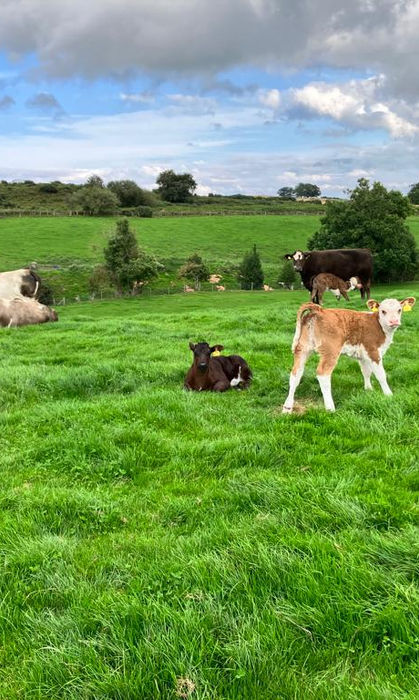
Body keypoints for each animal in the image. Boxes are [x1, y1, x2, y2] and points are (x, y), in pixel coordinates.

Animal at [282, 297, 415, 413]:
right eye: (383, 311)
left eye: (399, 310)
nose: (394, 321)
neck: (380, 326)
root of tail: (320, 310)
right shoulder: (373, 351)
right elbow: (381, 375)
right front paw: (388, 394)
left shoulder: (363, 355)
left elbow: (366, 372)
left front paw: (369, 390)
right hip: (331, 351)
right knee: (323, 374)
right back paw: (330, 408)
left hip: (303, 348)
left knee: (296, 374)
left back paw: (287, 407)